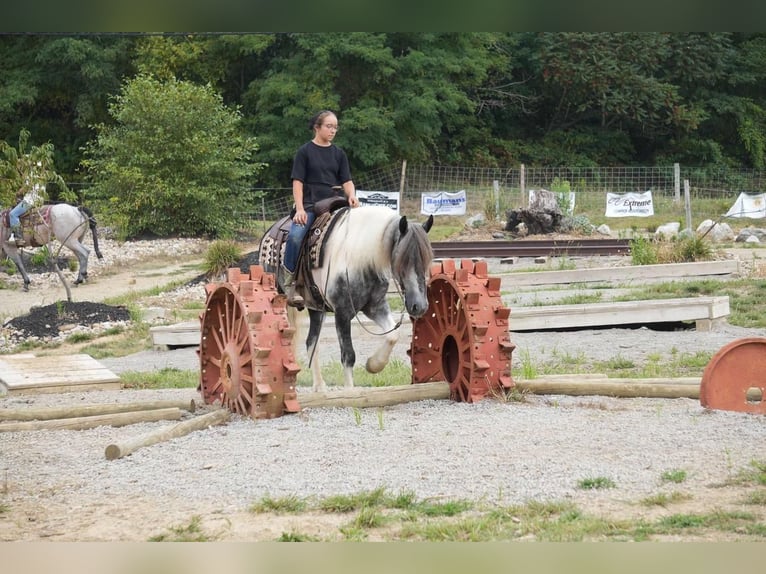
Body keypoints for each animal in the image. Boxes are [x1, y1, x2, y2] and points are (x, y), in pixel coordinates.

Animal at [260, 205, 436, 394]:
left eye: (427, 260)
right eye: (402, 260)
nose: (419, 306)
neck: (359, 259)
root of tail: (271, 230)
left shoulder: (375, 307)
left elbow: (393, 335)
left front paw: (373, 365)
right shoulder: (342, 313)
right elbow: (349, 355)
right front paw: (351, 392)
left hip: (317, 308)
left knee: (311, 342)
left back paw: (320, 386)